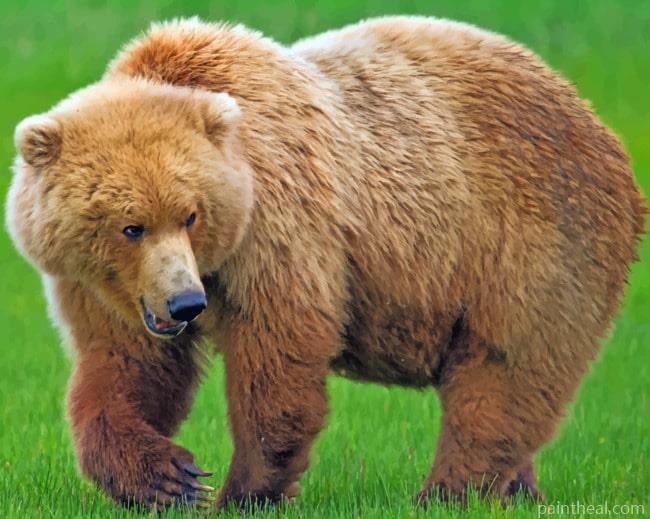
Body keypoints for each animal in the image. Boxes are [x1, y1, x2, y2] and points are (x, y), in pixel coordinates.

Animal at [6, 15, 645, 510]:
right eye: (131, 226)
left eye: (190, 214)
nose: (187, 304)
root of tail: (596, 121)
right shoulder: (105, 286)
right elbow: (126, 367)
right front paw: (169, 477)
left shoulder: (279, 223)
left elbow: (279, 351)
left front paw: (243, 492)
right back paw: (518, 490)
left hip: (532, 240)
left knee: (503, 369)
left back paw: (448, 492)